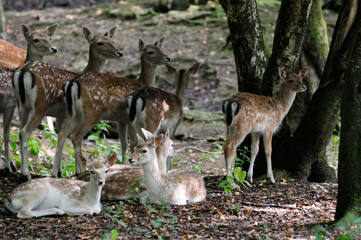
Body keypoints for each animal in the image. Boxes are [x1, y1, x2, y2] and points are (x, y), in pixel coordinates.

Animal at [0, 23, 58, 172]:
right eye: (36, 39)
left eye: (49, 38)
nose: (54, 48)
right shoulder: (9, 104)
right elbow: (7, 135)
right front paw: (9, 167)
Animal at [12, 25, 122, 180]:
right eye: (100, 43)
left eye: (112, 40)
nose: (120, 52)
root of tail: (23, 72)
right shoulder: (71, 113)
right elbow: (70, 137)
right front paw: (76, 171)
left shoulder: (61, 114)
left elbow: (62, 136)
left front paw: (60, 171)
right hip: (40, 105)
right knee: (25, 132)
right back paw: (26, 173)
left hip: (21, 106)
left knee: (20, 132)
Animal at [52, 37, 171, 176]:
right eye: (150, 52)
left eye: (160, 48)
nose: (167, 58)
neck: (142, 83)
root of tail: (73, 83)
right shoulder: (130, 118)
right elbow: (133, 142)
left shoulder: (121, 119)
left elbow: (123, 143)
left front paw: (124, 164)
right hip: (93, 111)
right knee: (76, 136)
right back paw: (82, 171)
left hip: (75, 112)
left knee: (62, 134)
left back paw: (55, 172)